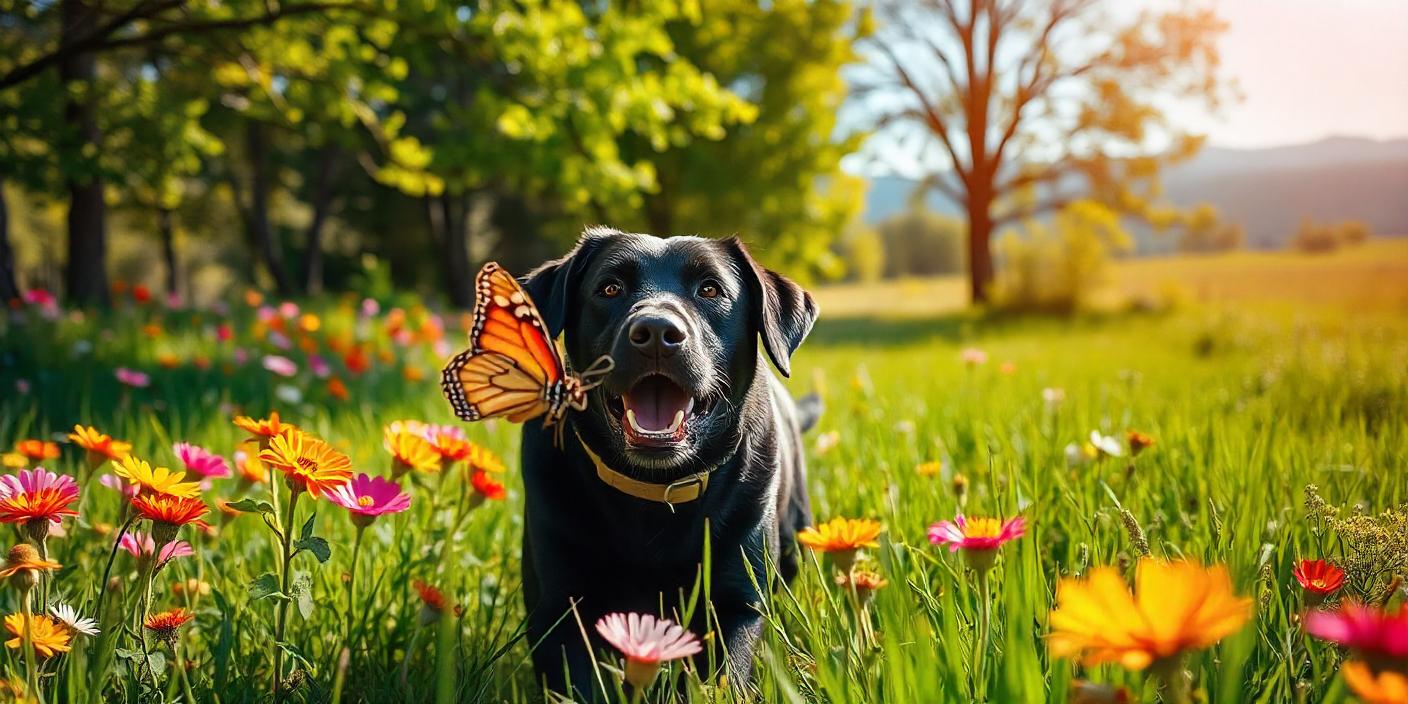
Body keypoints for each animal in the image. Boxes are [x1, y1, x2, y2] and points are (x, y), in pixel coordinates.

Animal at [523, 229, 822, 698]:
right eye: (610, 288)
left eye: (710, 290)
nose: (657, 332)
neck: (652, 490)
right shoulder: (557, 610)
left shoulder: (738, 603)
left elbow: (726, 677)